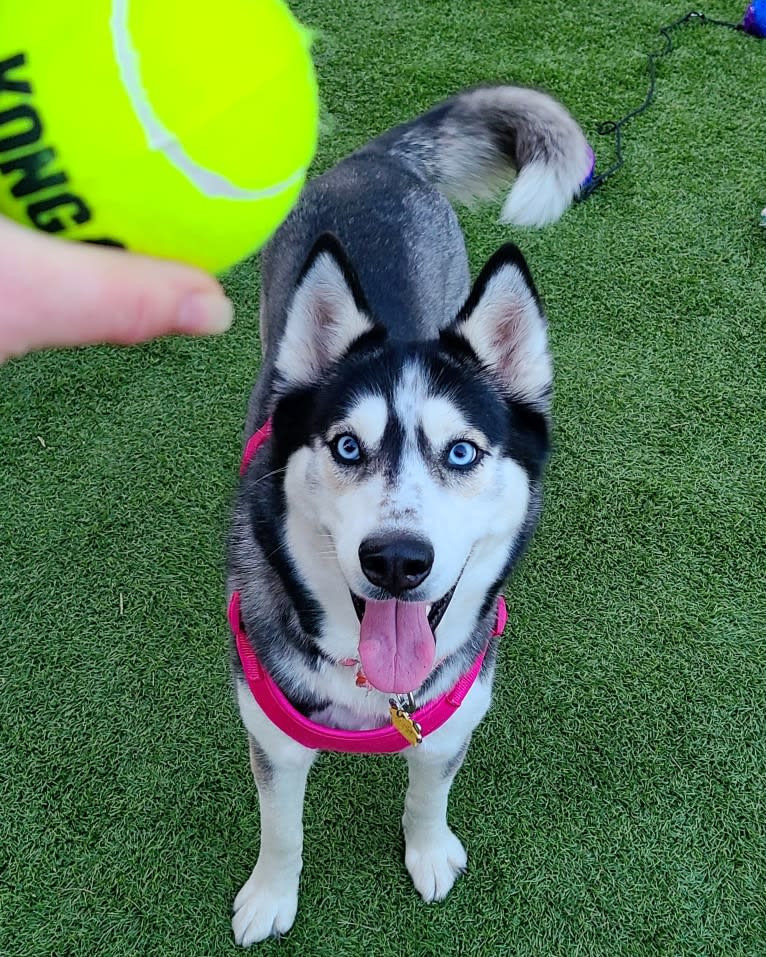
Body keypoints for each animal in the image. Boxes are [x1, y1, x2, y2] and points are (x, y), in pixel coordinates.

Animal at [225, 84, 592, 940]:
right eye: (347, 446)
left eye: (460, 452)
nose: (396, 559)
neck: (374, 690)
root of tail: (377, 161)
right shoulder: (271, 731)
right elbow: (281, 827)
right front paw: (271, 895)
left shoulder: (451, 720)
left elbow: (429, 790)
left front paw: (427, 851)